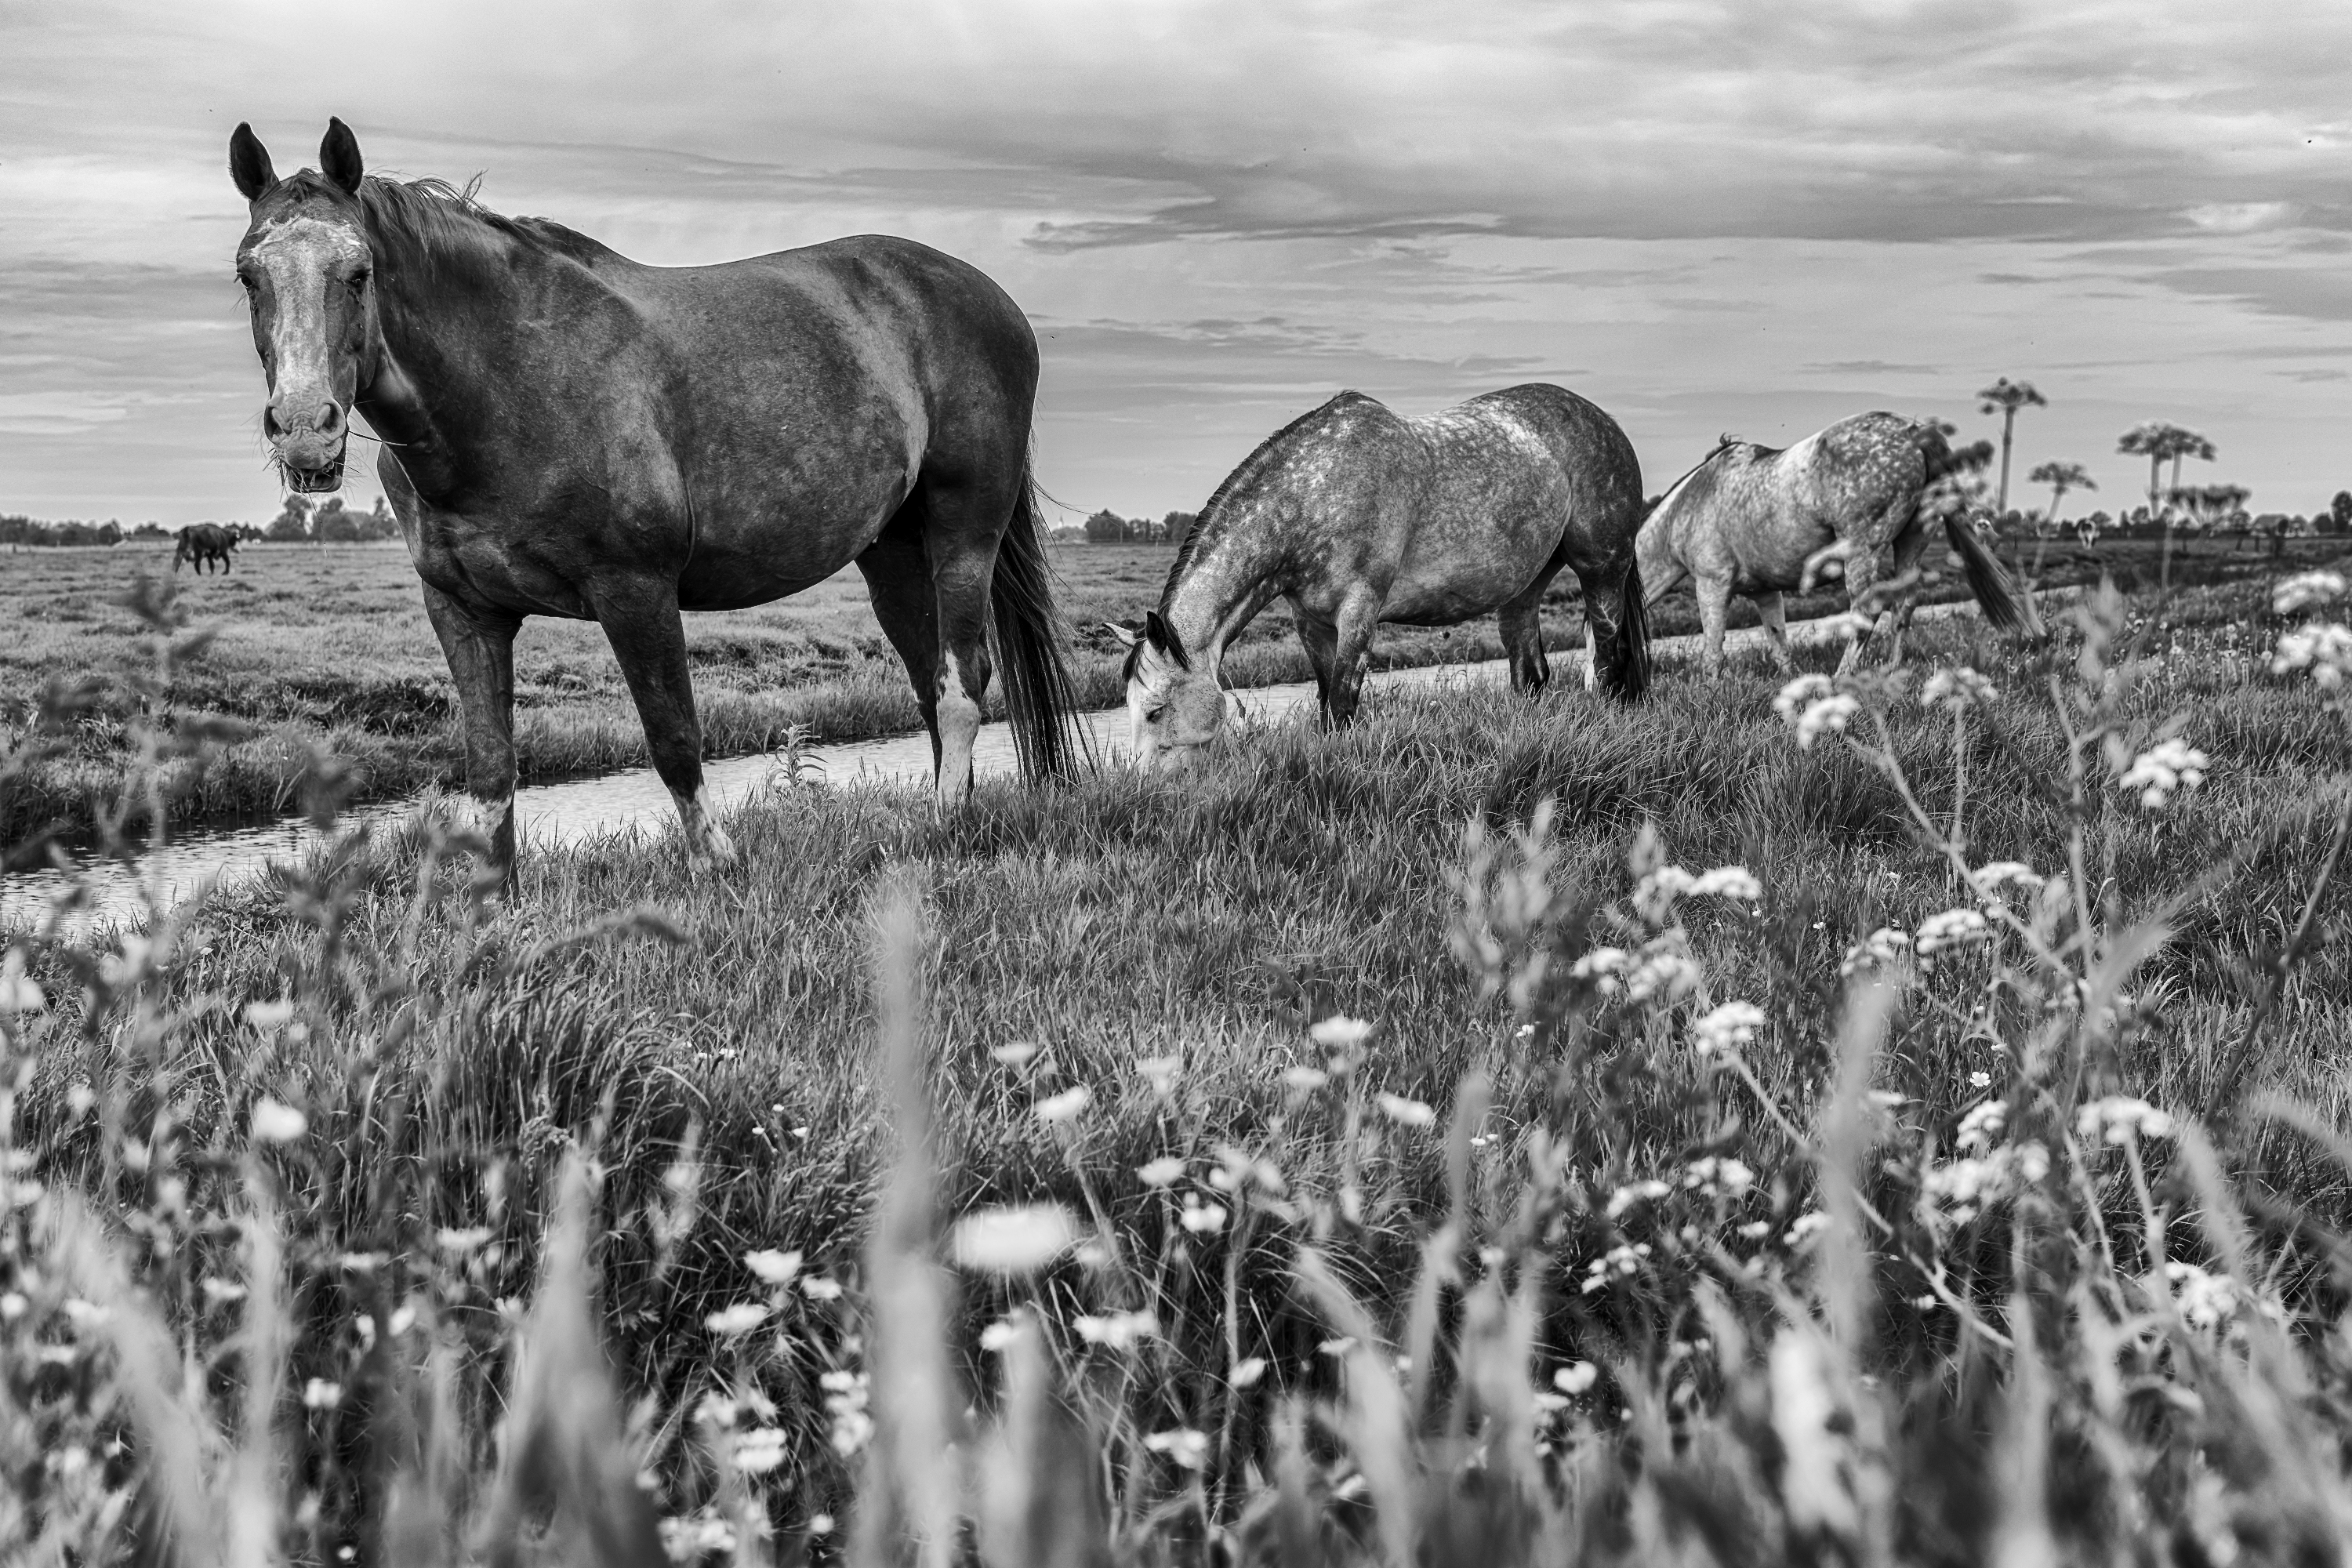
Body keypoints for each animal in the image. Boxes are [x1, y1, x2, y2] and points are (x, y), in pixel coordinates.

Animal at [227, 119, 1087, 874]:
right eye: (248, 275)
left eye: (359, 272)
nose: (304, 429)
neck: (509, 383)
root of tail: (991, 300)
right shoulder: (465, 611)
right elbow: (491, 769)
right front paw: (492, 909)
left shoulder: (635, 591)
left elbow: (674, 741)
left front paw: (718, 868)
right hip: (894, 551)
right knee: (931, 681)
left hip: (964, 534)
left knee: (961, 687)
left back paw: (943, 828)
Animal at [1111, 384, 1650, 768]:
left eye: (1155, 710)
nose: (1142, 789)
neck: (1317, 491)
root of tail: (1608, 424)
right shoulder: (1311, 622)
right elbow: (1325, 699)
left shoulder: (1359, 611)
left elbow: (1342, 706)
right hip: (1524, 587)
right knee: (1530, 672)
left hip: (1602, 571)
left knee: (1607, 658)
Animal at [1634, 411, 2040, 679]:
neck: (1688, 507)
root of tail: (1914, 433)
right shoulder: (1765, 593)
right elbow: (1779, 643)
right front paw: (1790, 682)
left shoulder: (1712, 585)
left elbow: (1713, 651)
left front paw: (1711, 689)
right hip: (1913, 541)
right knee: (1904, 606)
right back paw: (1892, 670)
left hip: (1862, 552)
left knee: (1867, 611)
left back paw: (1840, 679)